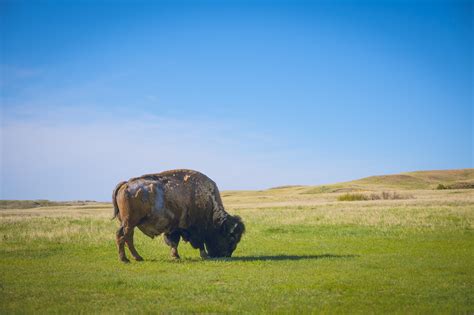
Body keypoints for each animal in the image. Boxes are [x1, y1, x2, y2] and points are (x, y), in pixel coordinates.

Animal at [111, 169, 244, 262]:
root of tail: (126, 184)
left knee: (126, 237)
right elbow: (198, 243)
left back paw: (136, 258)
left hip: (128, 223)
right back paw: (126, 259)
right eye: (231, 237)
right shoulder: (196, 229)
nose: (227, 255)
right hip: (130, 222)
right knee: (123, 236)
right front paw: (204, 255)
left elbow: (174, 242)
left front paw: (175, 256)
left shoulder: (174, 229)